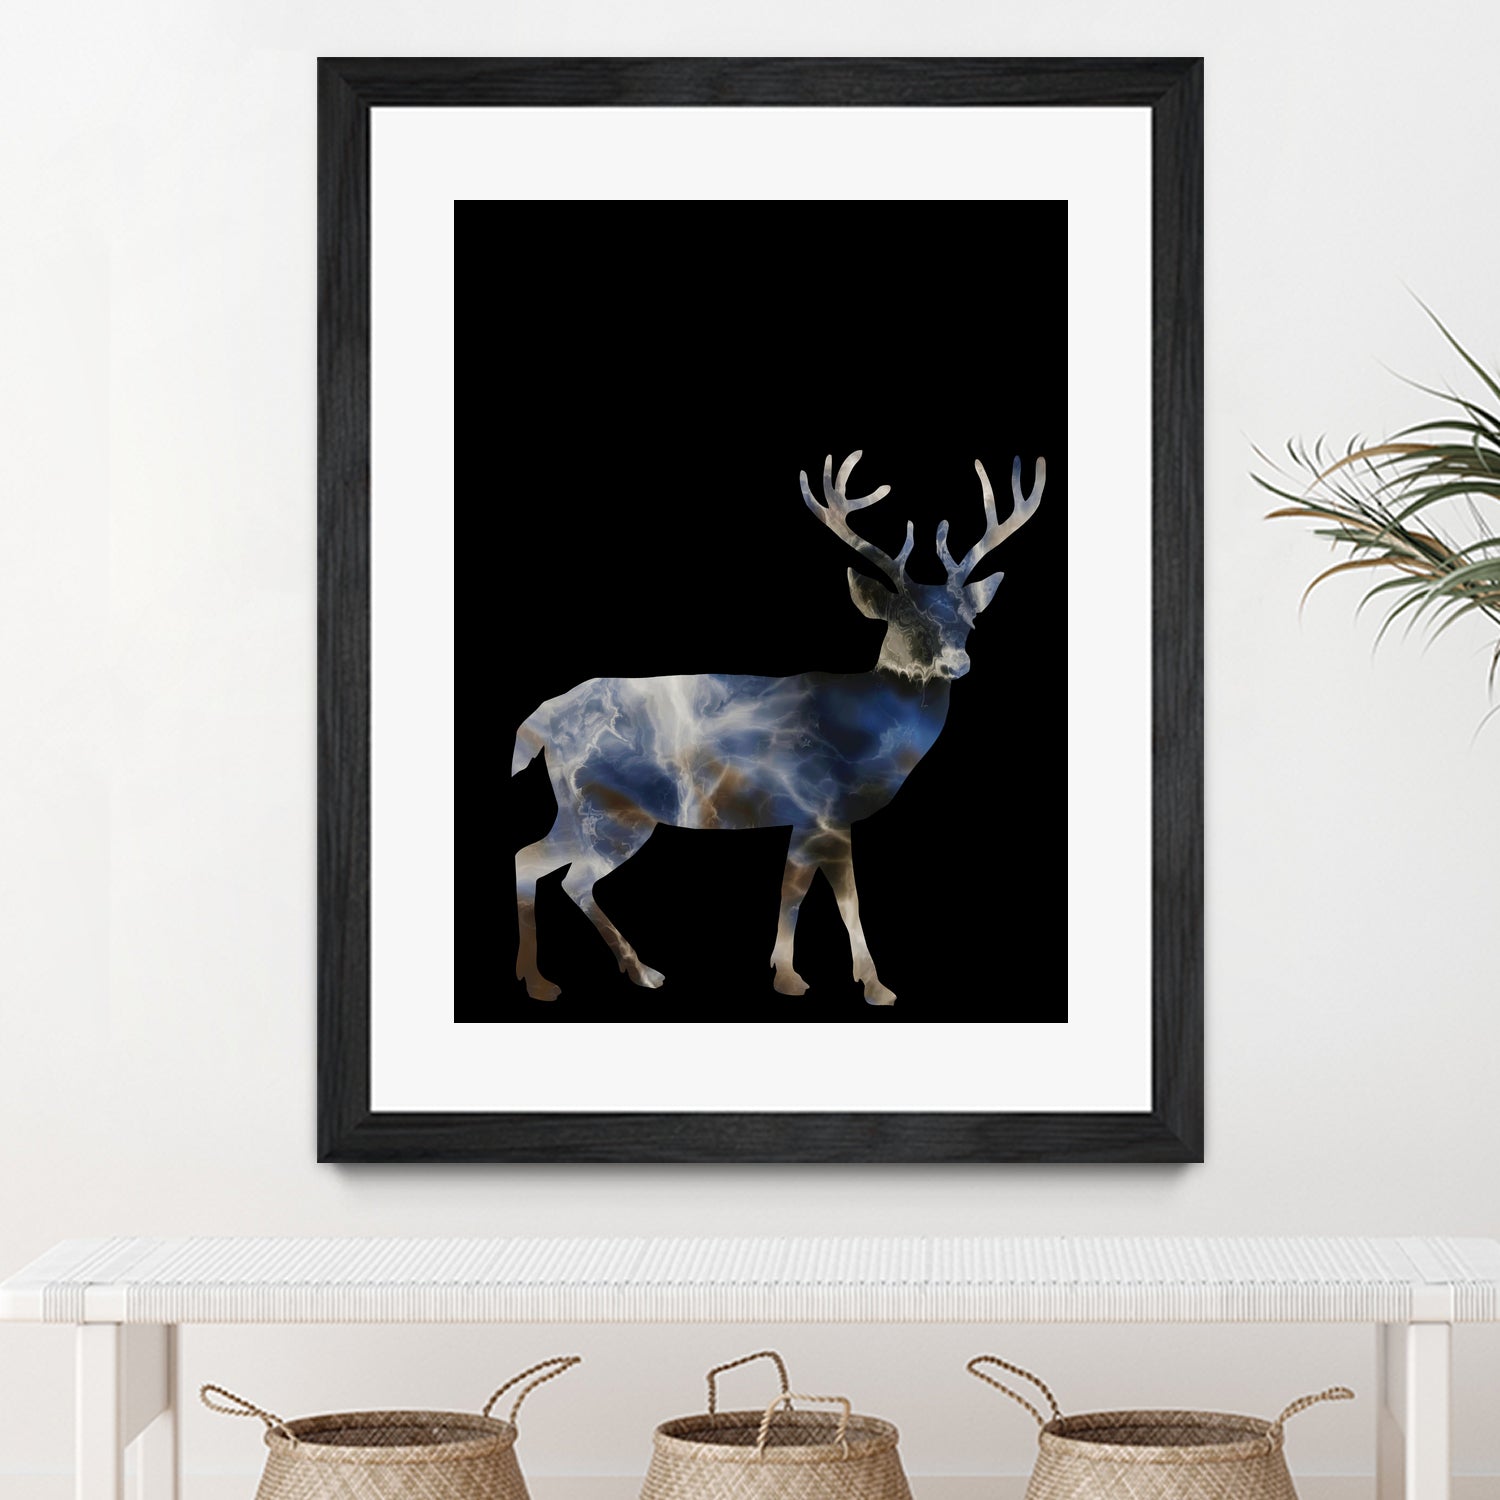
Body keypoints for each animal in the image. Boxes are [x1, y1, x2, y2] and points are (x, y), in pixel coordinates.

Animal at [511, 448, 1045, 1006]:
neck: (868, 730)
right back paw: (609, 974)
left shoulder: (809, 817)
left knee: (532, 860)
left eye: (970, 622)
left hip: (581, 808)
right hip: (610, 809)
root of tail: (542, 720)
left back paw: (575, 975)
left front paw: (797, 974)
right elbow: (833, 898)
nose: (958, 663)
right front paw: (859, 984)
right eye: (904, 619)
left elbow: (797, 890)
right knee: (567, 876)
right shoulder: (823, 808)